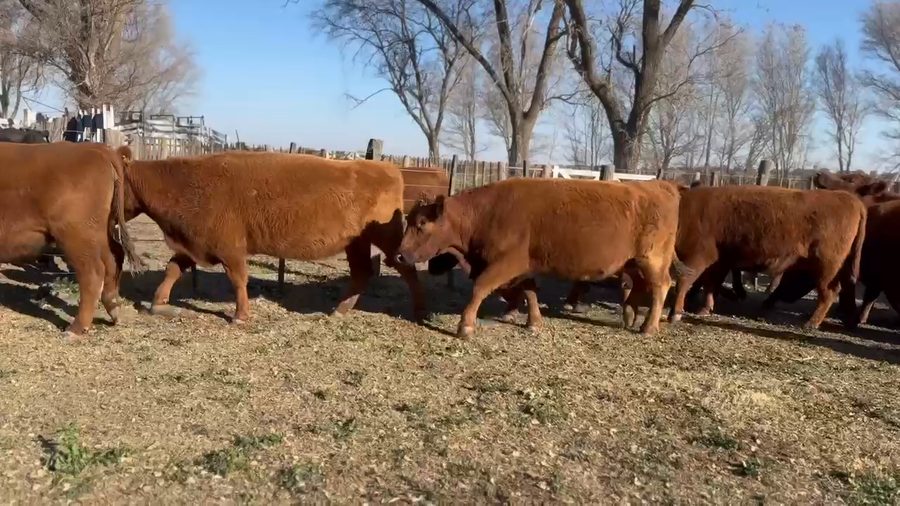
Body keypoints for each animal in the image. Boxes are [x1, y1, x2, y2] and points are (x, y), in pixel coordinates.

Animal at [0, 142, 143, 337]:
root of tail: (98, 149)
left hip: (75, 236)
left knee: (93, 273)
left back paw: (75, 330)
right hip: (98, 234)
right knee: (114, 260)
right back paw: (114, 311)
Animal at [120, 151, 426, 324]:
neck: (186, 182)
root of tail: (387, 168)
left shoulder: (230, 248)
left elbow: (238, 279)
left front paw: (240, 316)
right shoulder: (193, 246)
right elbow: (172, 269)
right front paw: (158, 303)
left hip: (387, 238)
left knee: (408, 269)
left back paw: (419, 312)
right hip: (356, 243)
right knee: (362, 273)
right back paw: (339, 311)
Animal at [397, 177, 686, 336]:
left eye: (421, 224)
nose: (400, 255)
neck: (486, 213)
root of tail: (660, 185)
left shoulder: (505, 263)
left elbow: (480, 288)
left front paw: (465, 327)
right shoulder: (523, 266)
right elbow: (530, 291)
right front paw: (534, 323)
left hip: (652, 259)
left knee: (661, 286)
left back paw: (649, 327)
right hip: (634, 262)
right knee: (639, 285)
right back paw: (629, 315)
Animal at [667, 185, 867, 330]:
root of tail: (849, 198)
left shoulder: (698, 256)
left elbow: (684, 282)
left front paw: (675, 314)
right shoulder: (719, 262)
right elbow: (711, 285)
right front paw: (704, 309)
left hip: (827, 266)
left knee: (828, 292)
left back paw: (810, 323)